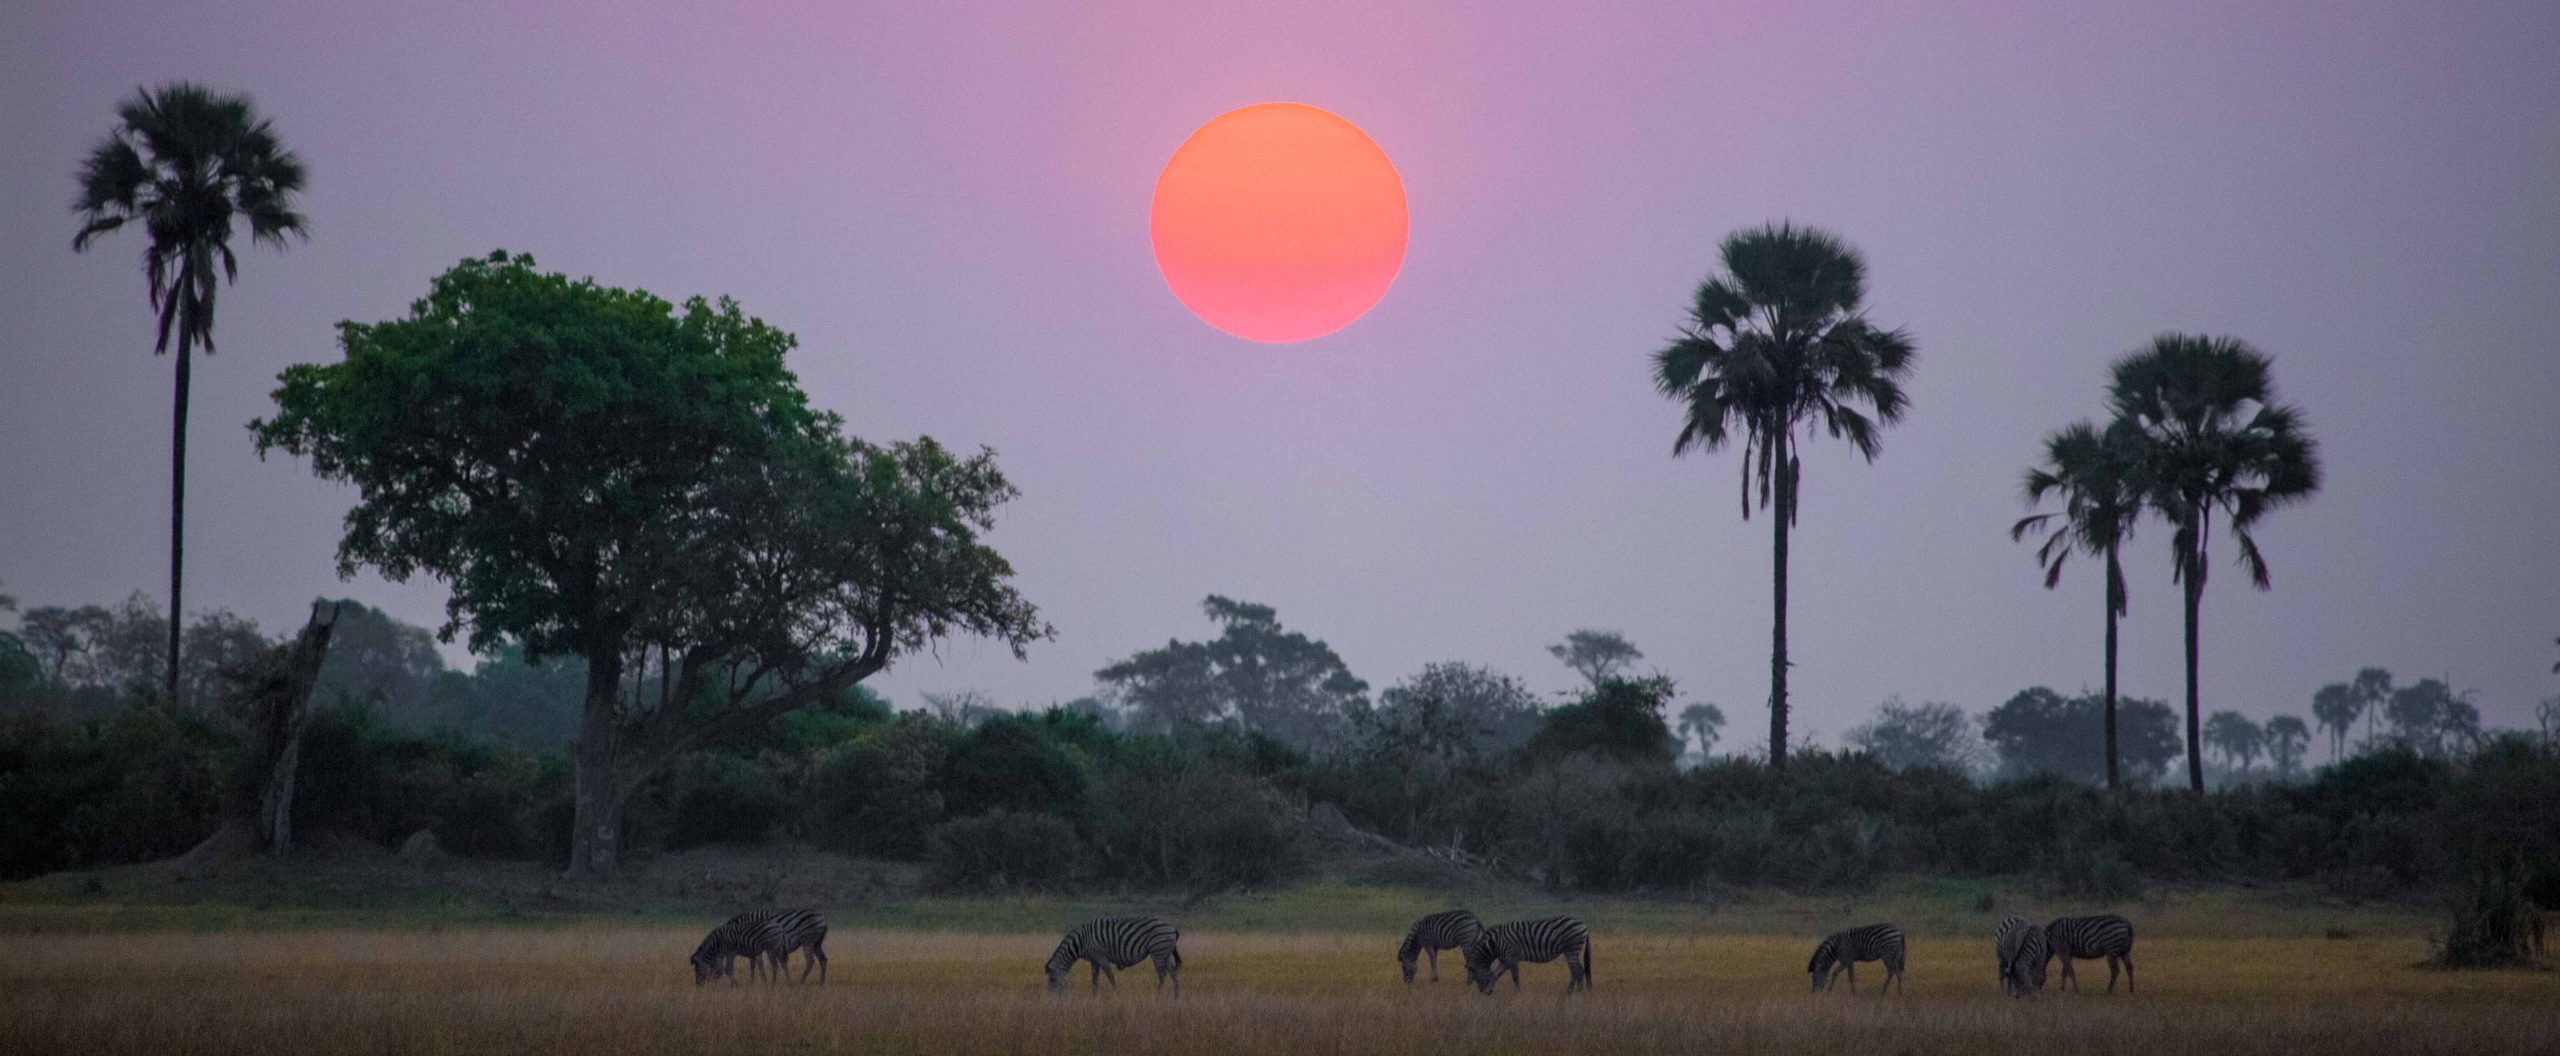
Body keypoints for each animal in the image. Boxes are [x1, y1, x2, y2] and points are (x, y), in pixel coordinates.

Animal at [1044, 917, 1182, 994]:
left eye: (1052, 980)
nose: (1053, 1001)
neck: (1081, 941)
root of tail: (1172, 926)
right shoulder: (1094, 960)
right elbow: (1094, 979)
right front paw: (1094, 995)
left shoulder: (1100, 956)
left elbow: (1110, 976)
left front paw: (1115, 993)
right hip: (1166, 953)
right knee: (1174, 974)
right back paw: (1175, 997)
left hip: (1158, 952)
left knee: (1162, 975)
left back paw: (1157, 994)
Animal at [1454, 917, 1587, 994]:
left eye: (1476, 977)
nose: (1482, 992)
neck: (1495, 943)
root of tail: (1583, 924)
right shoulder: (1505, 960)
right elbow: (1496, 974)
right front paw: (1489, 991)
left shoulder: (1511, 957)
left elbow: (1515, 977)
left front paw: (1518, 994)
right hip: (1573, 950)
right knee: (1580, 970)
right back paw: (1579, 992)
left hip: (1571, 949)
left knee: (1576, 971)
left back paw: (1570, 992)